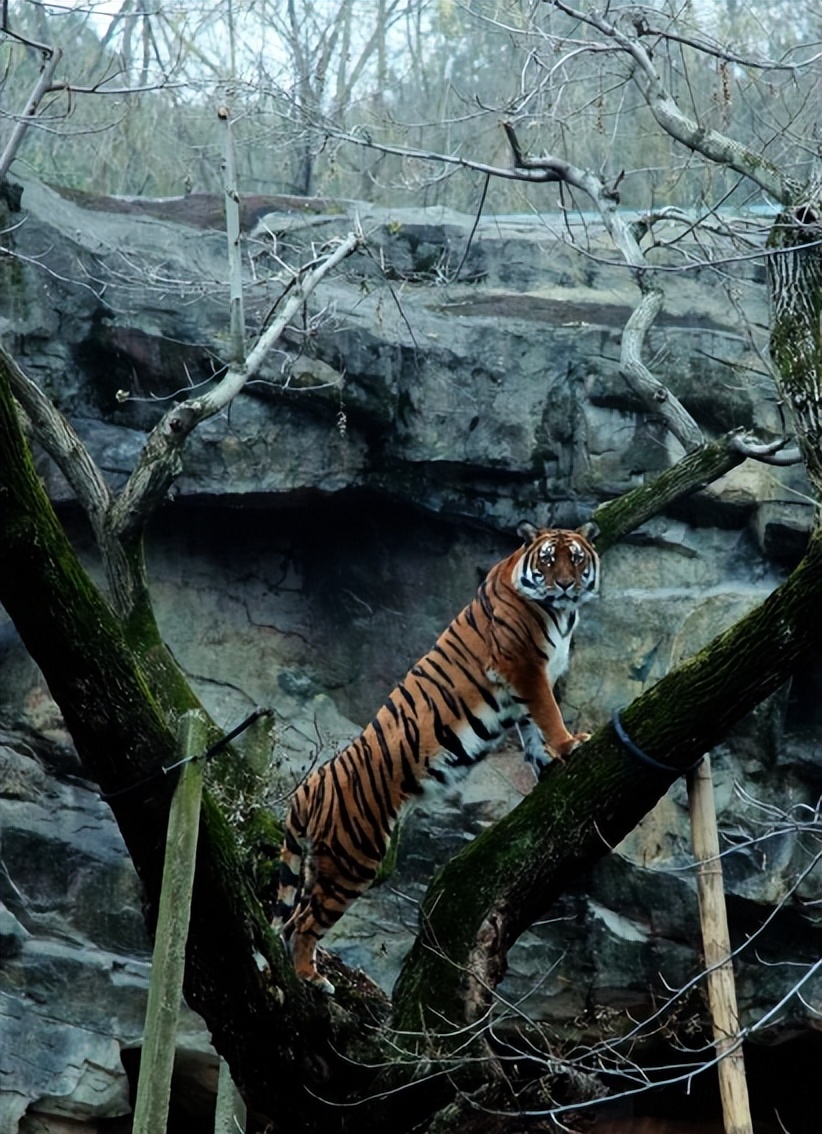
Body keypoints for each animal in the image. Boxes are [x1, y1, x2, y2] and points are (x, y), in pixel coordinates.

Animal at [273, 522, 600, 993]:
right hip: (351, 858)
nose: (566, 584)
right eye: (548, 559)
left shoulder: (525, 685)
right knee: (302, 924)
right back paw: (311, 978)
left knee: (290, 920)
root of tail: (308, 788)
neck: (560, 613)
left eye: (576, 558)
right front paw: (572, 743)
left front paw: (549, 762)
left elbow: (533, 731)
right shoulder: (524, 667)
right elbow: (549, 715)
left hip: (324, 862)